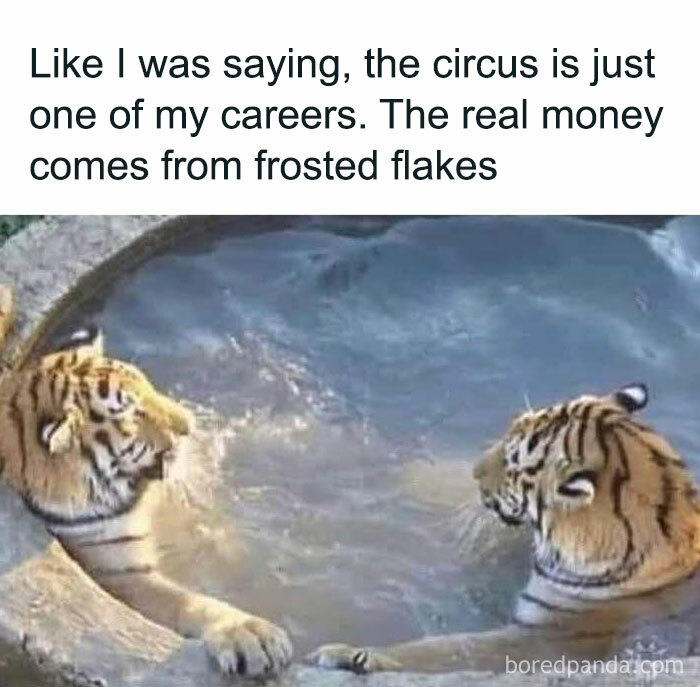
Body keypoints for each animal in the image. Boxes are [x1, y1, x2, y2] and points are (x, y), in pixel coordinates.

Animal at [0, 284, 292, 678]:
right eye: (132, 415)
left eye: (147, 384)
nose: (188, 426)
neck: (136, 489)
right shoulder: (120, 572)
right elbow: (187, 601)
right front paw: (249, 633)